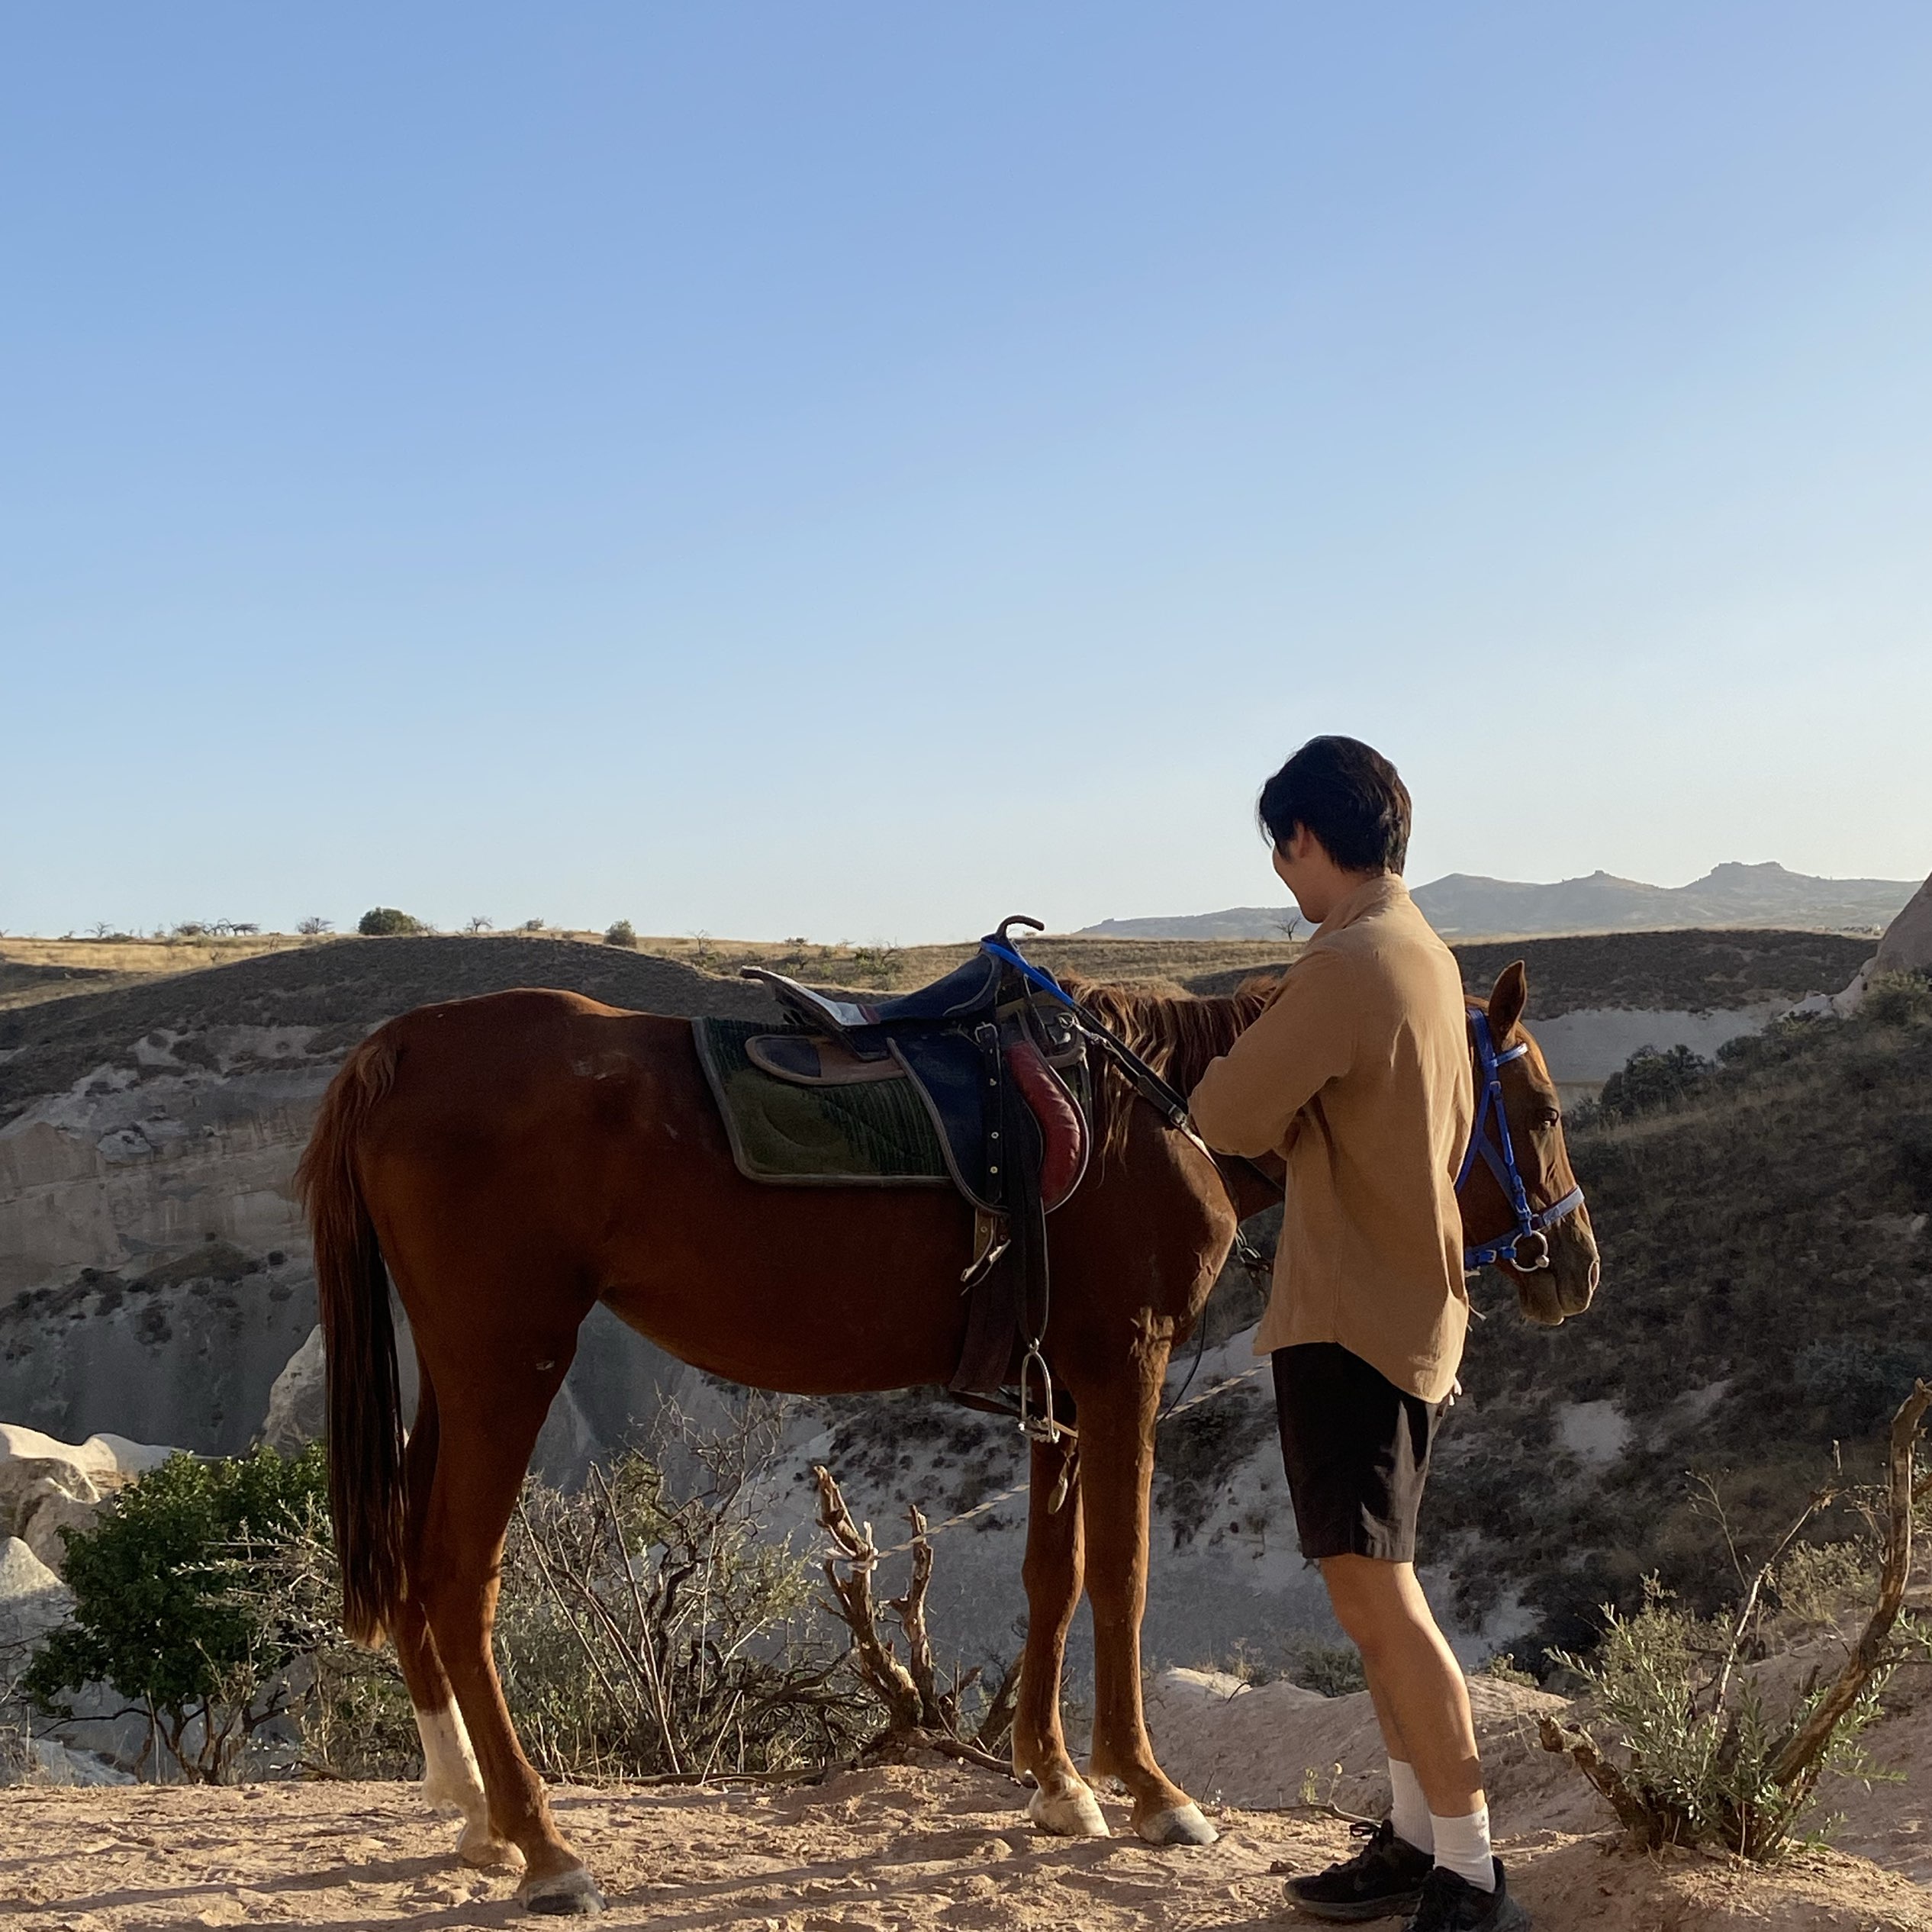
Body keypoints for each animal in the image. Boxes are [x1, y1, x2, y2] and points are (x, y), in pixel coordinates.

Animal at [297, 950, 1599, 1901]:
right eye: (1534, 1105)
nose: (1576, 1264)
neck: (1156, 1110)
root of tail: (399, 1048)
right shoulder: (1126, 1370)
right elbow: (1121, 1573)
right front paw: (1149, 1788)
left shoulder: (1056, 1386)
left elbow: (1050, 1577)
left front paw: (1055, 1780)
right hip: (506, 1366)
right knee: (458, 1577)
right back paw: (542, 1842)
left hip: (458, 1376)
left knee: (410, 1562)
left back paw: (471, 1812)